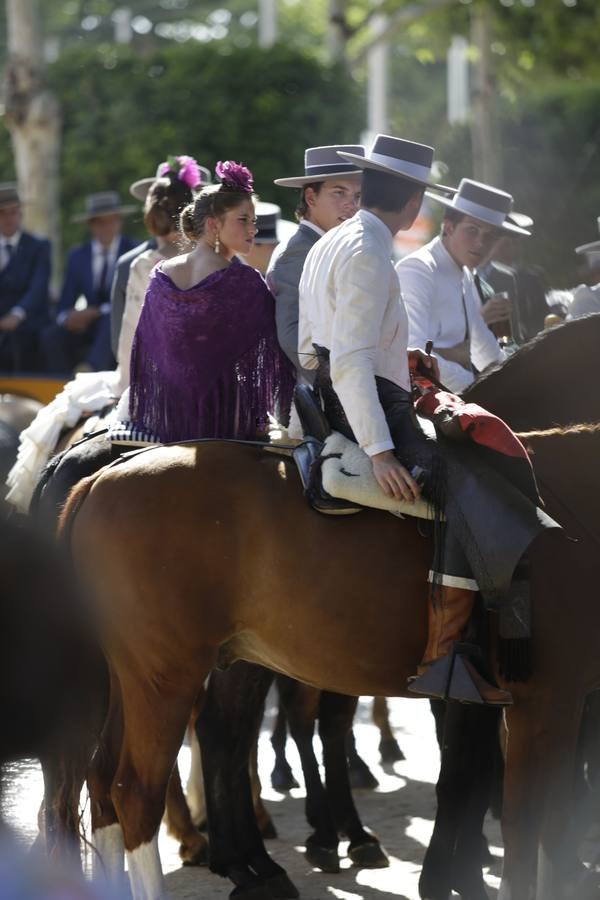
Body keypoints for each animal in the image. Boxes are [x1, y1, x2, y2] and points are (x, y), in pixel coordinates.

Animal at [58, 316, 600, 900]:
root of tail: (97, 479)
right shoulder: (546, 700)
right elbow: (526, 823)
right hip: (165, 674)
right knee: (138, 791)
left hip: (135, 674)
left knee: (104, 784)